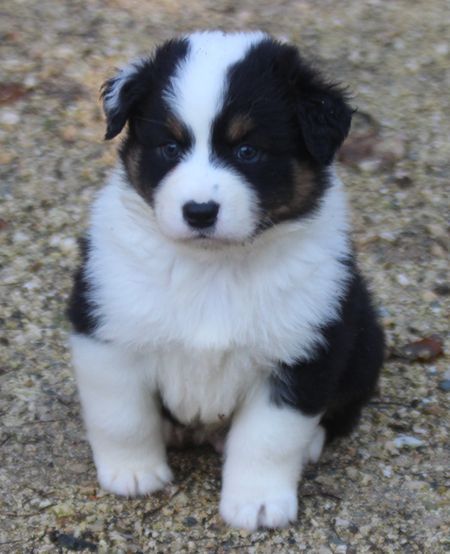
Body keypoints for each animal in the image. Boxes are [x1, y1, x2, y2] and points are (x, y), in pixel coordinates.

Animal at [67, 31, 384, 532]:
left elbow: (269, 438)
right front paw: (133, 473)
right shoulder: (107, 330)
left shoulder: (303, 353)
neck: (212, 266)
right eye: (170, 147)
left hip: (365, 340)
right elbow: (121, 415)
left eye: (247, 151)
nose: (199, 211)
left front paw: (257, 503)